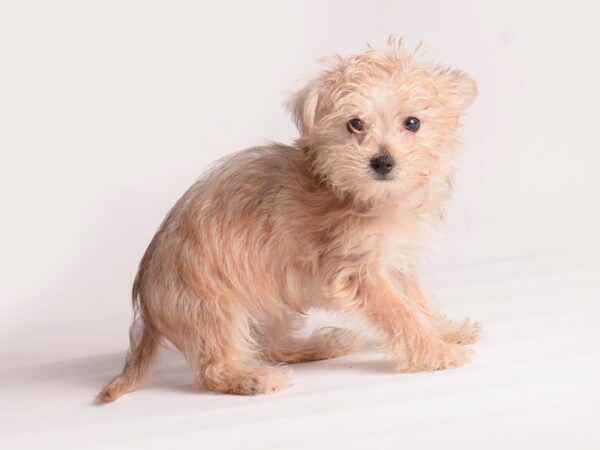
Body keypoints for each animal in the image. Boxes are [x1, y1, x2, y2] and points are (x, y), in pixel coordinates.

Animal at [101, 40, 480, 400]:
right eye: (355, 124)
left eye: (412, 123)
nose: (382, 161)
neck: (369, 197)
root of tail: (147, 302)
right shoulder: (359, 272)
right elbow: (400, 312)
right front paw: (436, 351)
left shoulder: (397, 263)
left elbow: (417, 301)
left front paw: (445, 331)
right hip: (214, 307)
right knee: (214, 368)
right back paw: (255, 378)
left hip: (270, 299)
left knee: (272, 345)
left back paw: (322, 345)